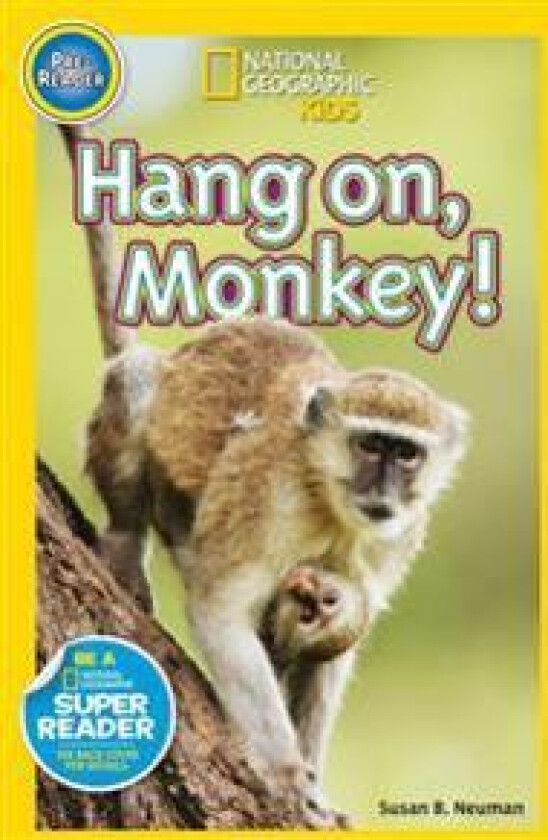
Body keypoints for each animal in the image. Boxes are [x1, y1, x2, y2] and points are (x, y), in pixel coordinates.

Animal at [59, 123, 469, 822]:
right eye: (372, 446)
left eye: (407, 454)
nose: (383, 488)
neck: (331, 502)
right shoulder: (269, 500)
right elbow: (222, 608)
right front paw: (284, 775)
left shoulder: (395, 538)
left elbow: (340, 646)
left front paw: (317, 781)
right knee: (136, 379)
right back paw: (123, 541)